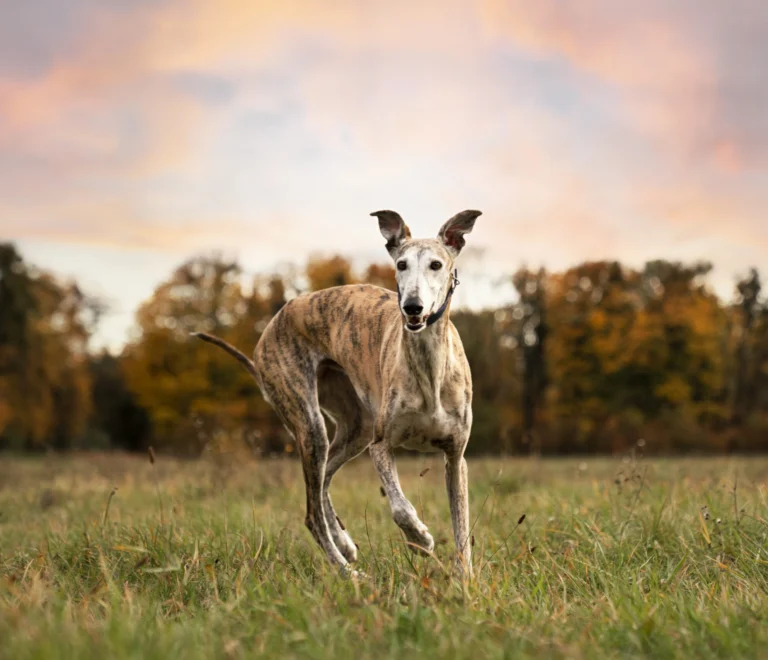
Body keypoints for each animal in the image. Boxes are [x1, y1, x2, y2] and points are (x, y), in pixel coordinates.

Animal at [194, 211, 480, 576]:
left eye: (436, 264)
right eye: (401, 264)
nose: (412, 308)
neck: (429, 367)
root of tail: (270, 328)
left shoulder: (455, 456)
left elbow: (461, 525)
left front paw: (465, 578)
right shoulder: (380, 446)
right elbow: (400, 508)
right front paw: (420, 539)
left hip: (355, 427)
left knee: (324, 481)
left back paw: (343, 542)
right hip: (311, 422)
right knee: (311, 512)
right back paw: (348, 572)